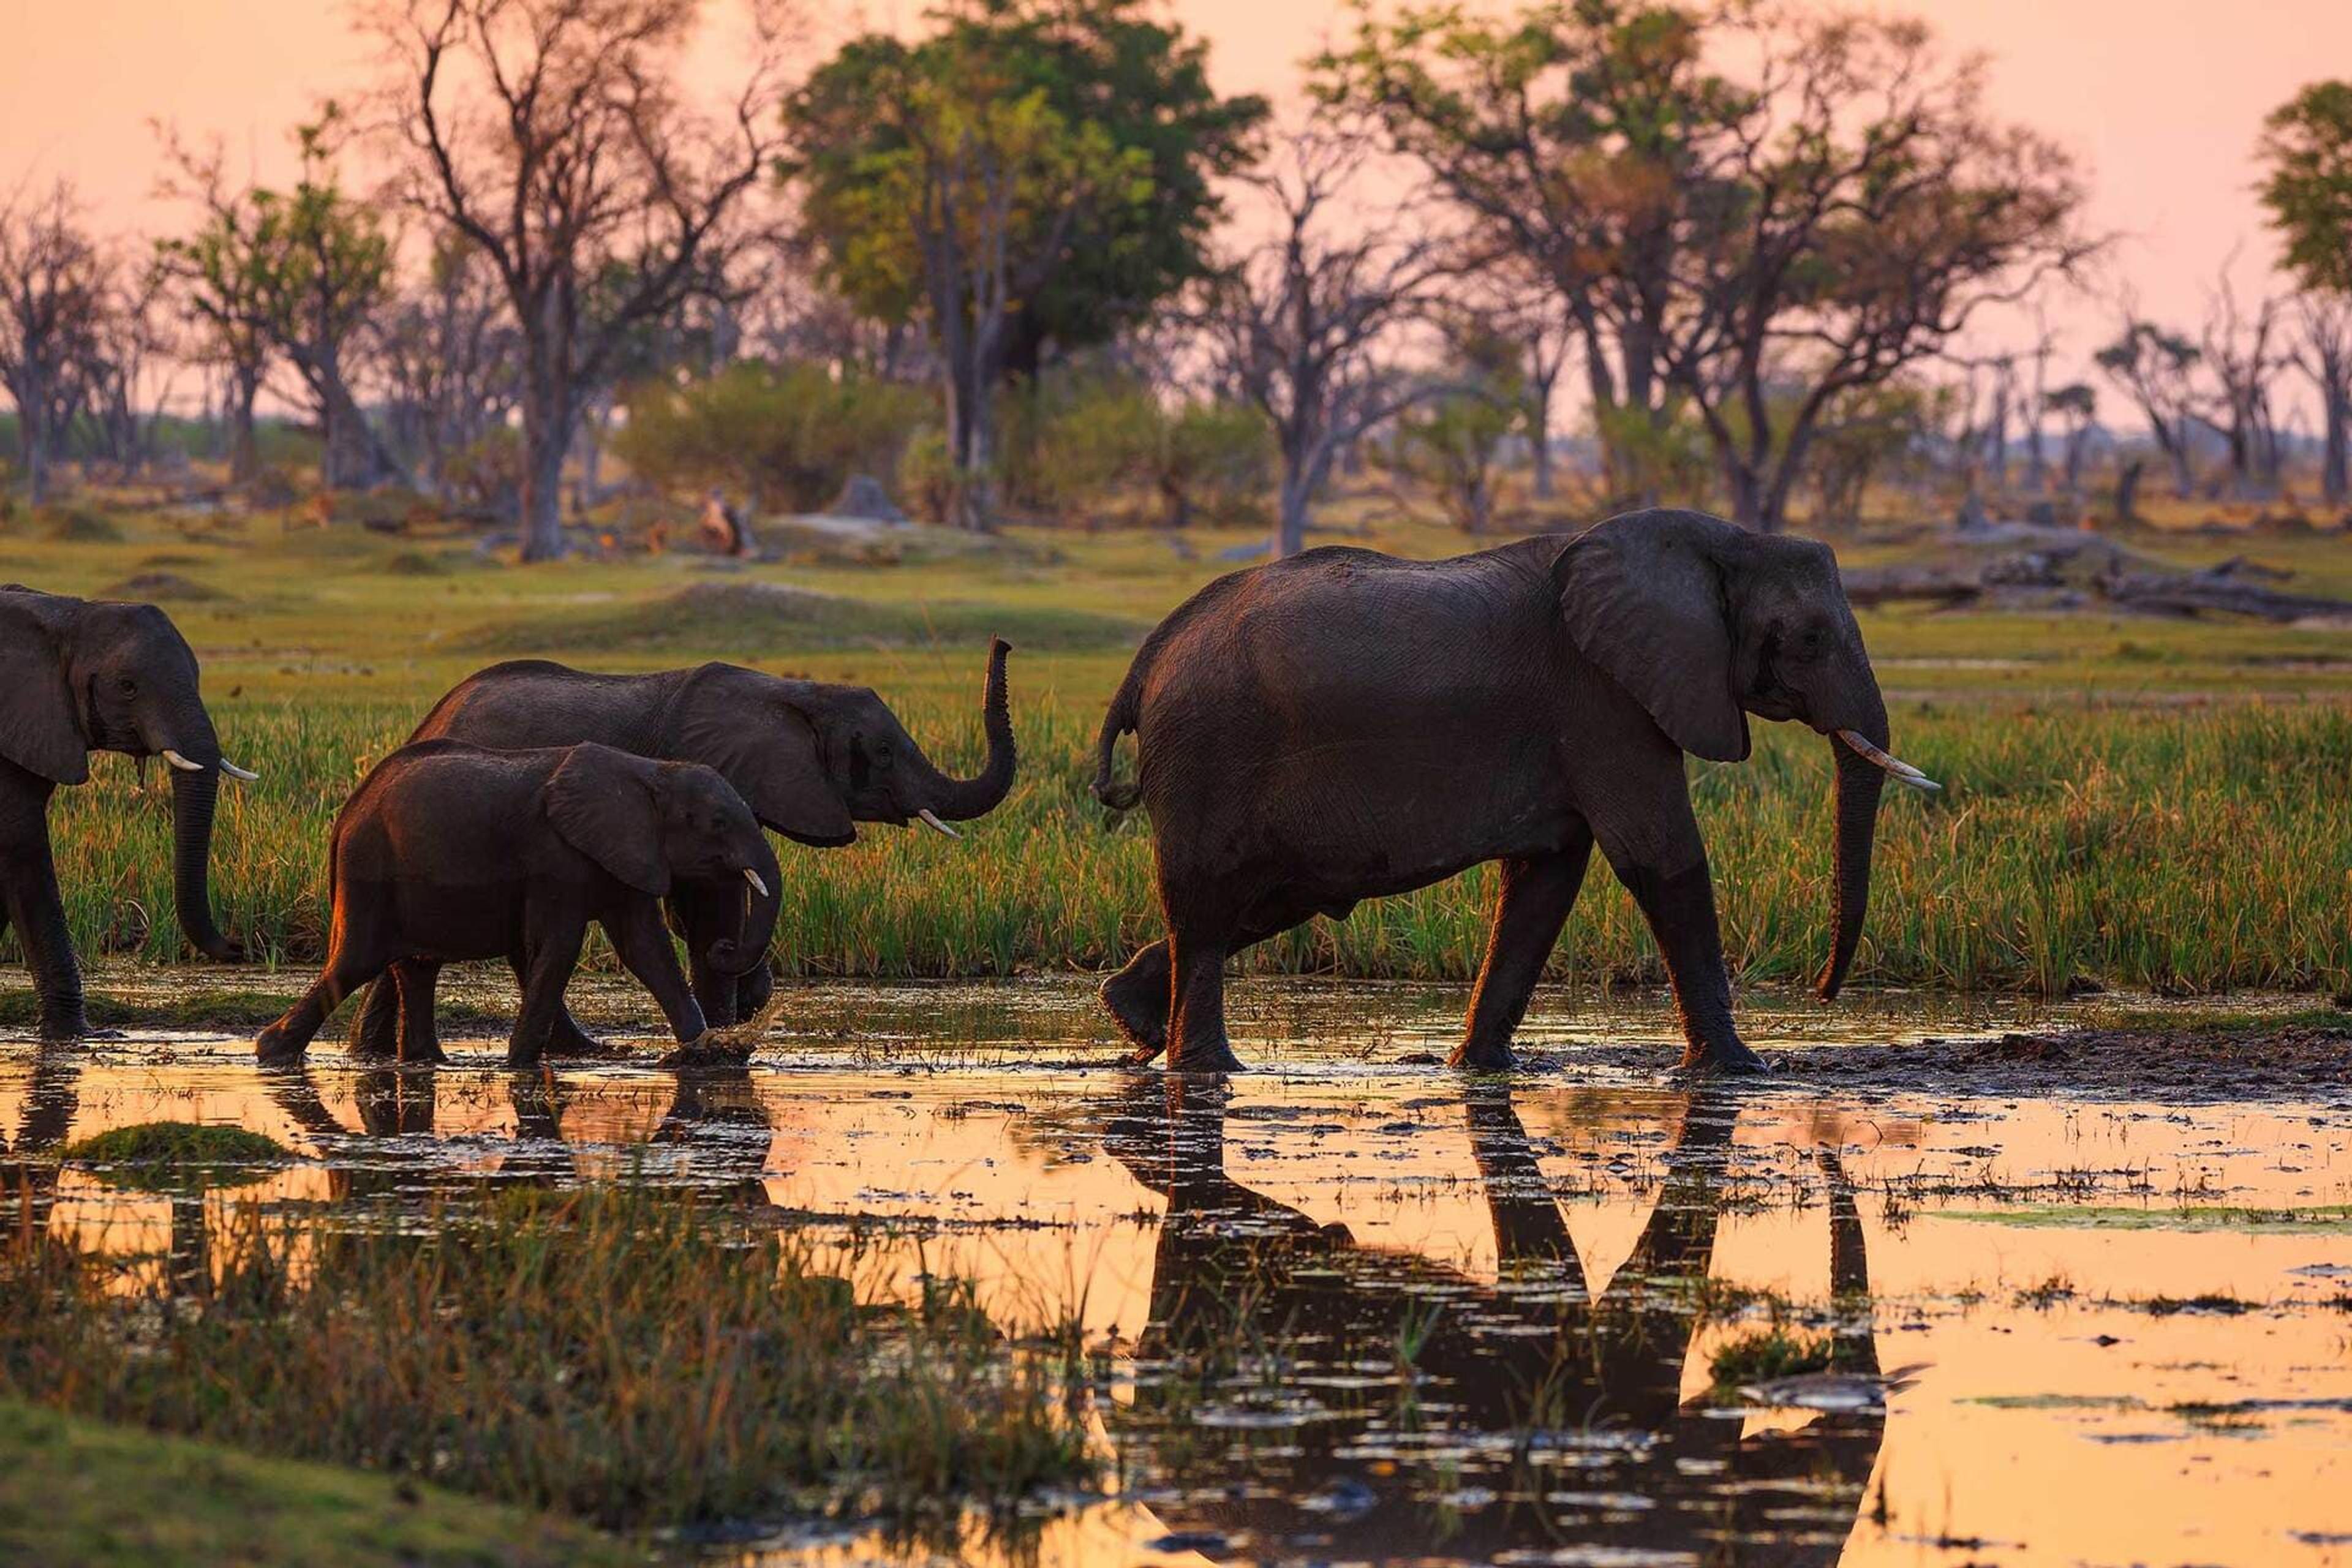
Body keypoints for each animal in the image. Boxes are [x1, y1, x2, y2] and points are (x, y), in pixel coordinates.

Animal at [254, 740, 781, 1068]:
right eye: (717, 823)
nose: (723, 948)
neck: (648, 770)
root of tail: (346, 812)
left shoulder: (627, 852)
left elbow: (646, 951)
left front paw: (705, 1053)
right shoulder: (554, 856)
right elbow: (560, 946)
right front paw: (520, 1064)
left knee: (416, 966)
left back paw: (429, 1061)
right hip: (369, 868)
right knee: (357, 960)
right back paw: (272, 1052)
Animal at [343, 638, 1015, 1059]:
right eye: (881, 752)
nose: (1003, 643)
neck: (795, 693)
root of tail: (432, 717)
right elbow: (711, 907)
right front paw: (725, 1033)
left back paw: (372, 1053)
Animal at [1089, 508, 1938, 1074]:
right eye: (1810, 639)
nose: (1823, 993)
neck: (1723, 540)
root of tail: (1143, 662)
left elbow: (1546, 878)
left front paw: (1480, 1069)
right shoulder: (1603, 697)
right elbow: (1659, 856)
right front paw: (1737, 1071)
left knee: (1263, 899)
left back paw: (1133, 1019)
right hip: (1208, 750)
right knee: (1209, 904)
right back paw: (1208, 1070)